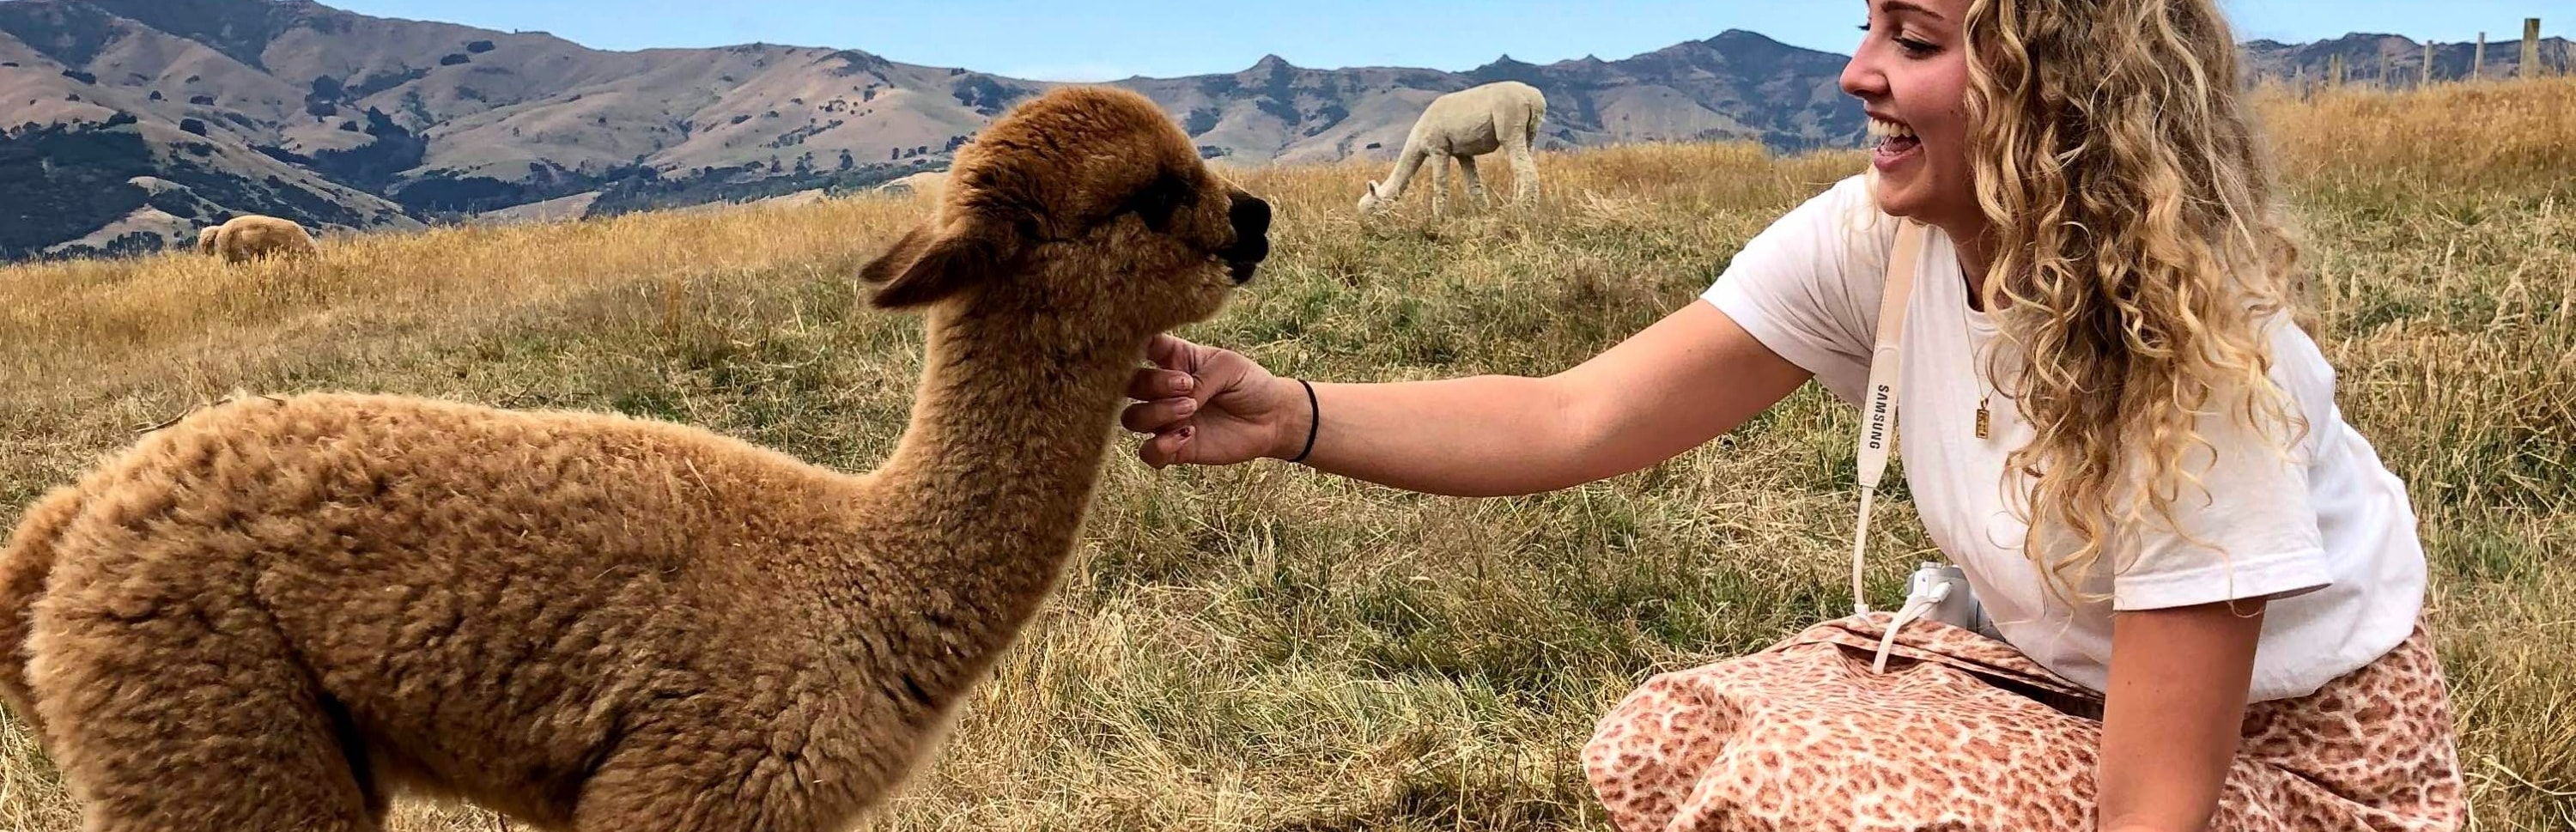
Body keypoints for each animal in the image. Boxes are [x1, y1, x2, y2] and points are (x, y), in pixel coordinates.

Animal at [0, 82, 1273, 832]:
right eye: (1153, 193)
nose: (1256, 218)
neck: (857, 572)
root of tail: (73, 525)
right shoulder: (685, 786)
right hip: (217, 725)